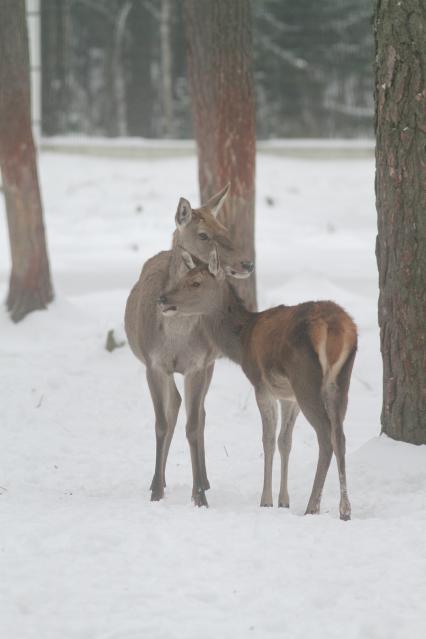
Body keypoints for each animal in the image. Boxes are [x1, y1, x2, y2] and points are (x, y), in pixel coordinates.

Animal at [125, 182, 255, 508]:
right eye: (203, 234)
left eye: (225, 227)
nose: (247, 263)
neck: (175, 335)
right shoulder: (154, 364)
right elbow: (161, 422)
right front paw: (156, 492)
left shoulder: (198, 364)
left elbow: (194, 426)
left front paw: (199, 496)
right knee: (174, 407)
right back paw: (158, 480)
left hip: (208, 365)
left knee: (199, 413)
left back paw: (205, 481)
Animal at [158, 248, 358, 524]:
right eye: (182, 277)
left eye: (195, 282)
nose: (162, 298)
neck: (241, 342)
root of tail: (335, 328)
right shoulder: (288, 396)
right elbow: (285, 441)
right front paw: (283, 501)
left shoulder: (261, 385)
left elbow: (267, 439)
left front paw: (266, 501)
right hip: (340, 381)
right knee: (340, 436)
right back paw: (345, 510)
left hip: (306, 380)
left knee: (325, 437)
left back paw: (312, 507)